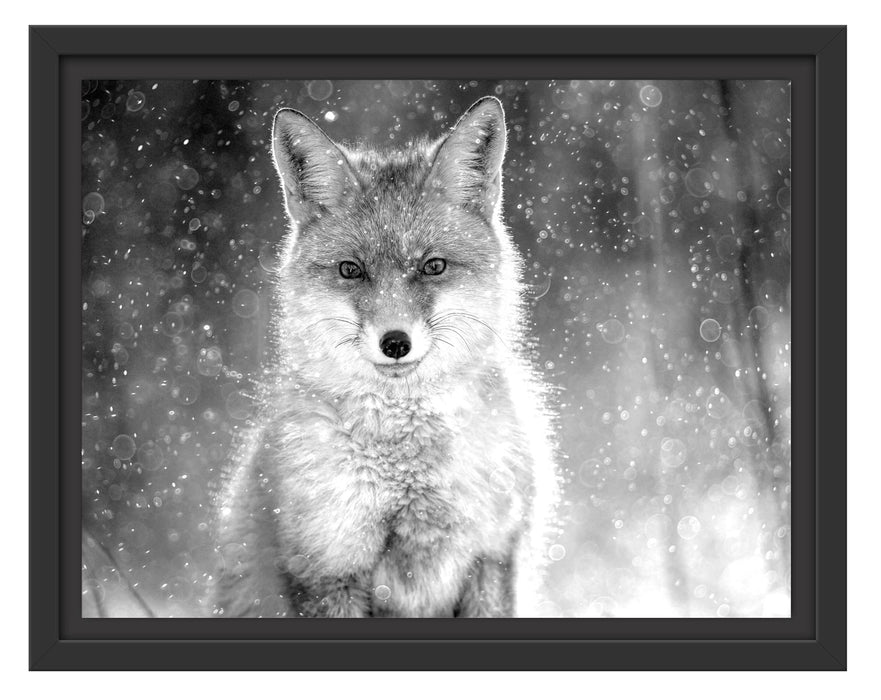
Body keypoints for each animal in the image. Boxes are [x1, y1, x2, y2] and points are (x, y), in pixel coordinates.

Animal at [211, 96, 559, 618]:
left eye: (433, 266)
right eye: (351, 270)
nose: (395, 342)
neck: (407, 464)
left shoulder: (493, 554)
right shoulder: (327, 566)